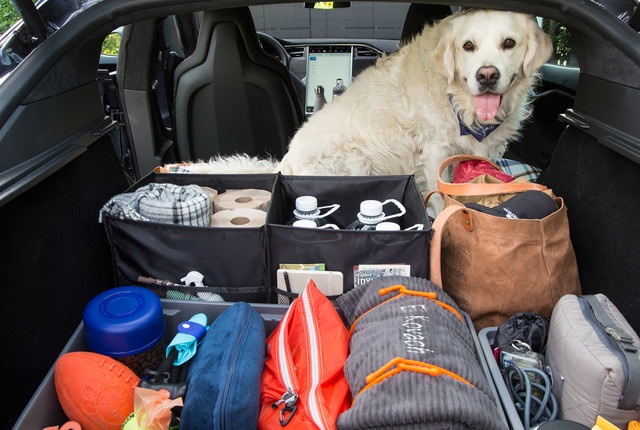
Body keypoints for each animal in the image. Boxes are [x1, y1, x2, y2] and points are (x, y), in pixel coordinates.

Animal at [188, 8, 552, 206]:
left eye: (509, 43)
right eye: (468, 46)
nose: (487, 76)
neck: (456, 100)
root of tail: (284, 165)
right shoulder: (435, 152)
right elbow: (439, 193)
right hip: (356, 160)